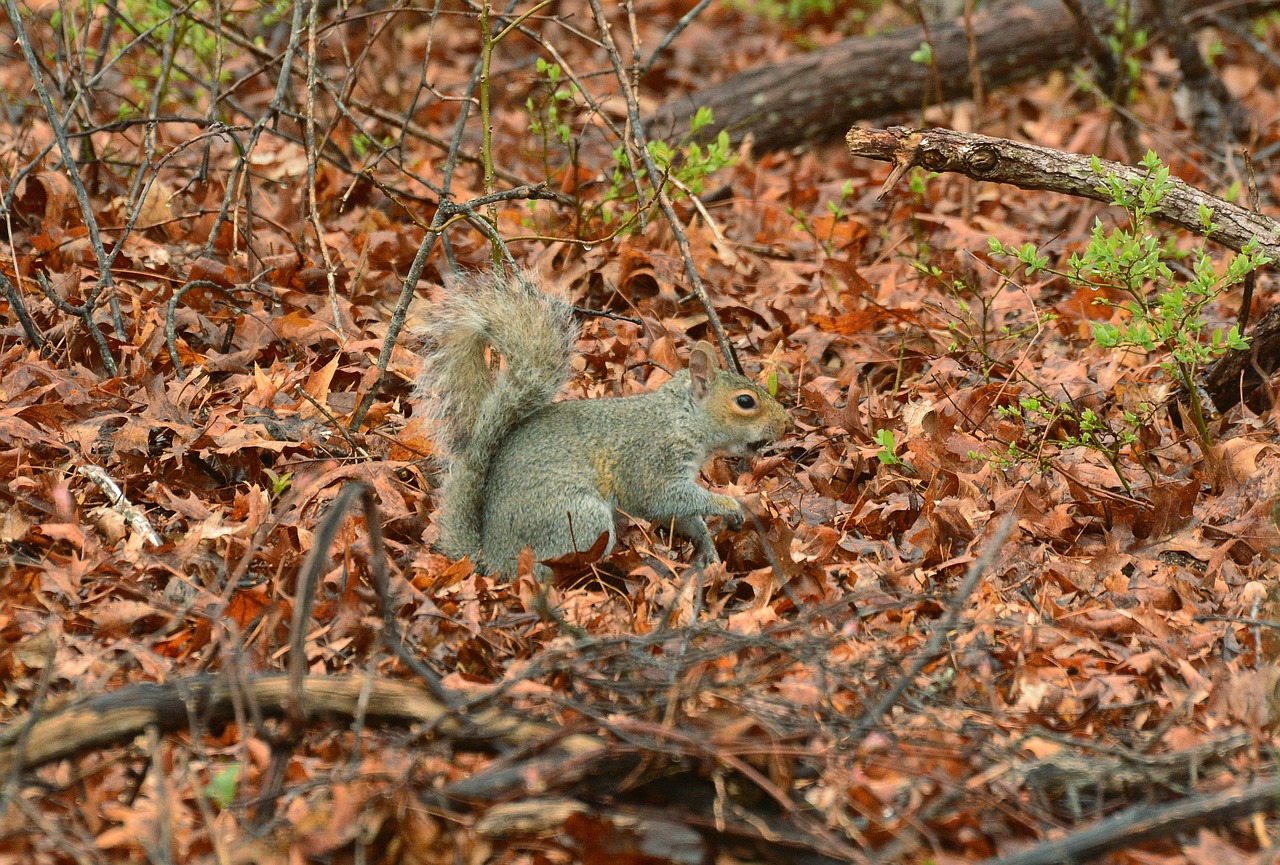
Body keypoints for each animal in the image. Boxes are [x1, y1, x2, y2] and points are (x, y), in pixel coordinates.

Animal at [414, 269, 788, 573]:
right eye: (745, 401)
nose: (786, 424)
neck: (681, 419)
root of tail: (490, 556)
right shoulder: (653, 463)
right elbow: (664, 499)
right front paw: (729, 504)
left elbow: (682, 515)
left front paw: (707, 546)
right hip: (577, 518)